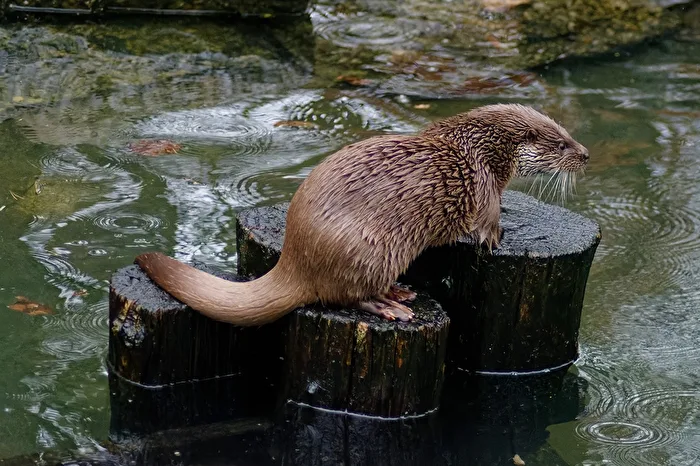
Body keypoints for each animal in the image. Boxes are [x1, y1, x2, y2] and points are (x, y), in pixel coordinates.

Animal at [136, 104, 589, 325]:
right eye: (561, 143)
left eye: (569, 135)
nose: (585, 154)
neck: (478, 147)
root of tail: (296, 260)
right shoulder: (483, 184)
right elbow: (485, 223)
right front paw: (497, 236)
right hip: (373, 248)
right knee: (344, 295)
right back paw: (391, 305)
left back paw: (399, 293)